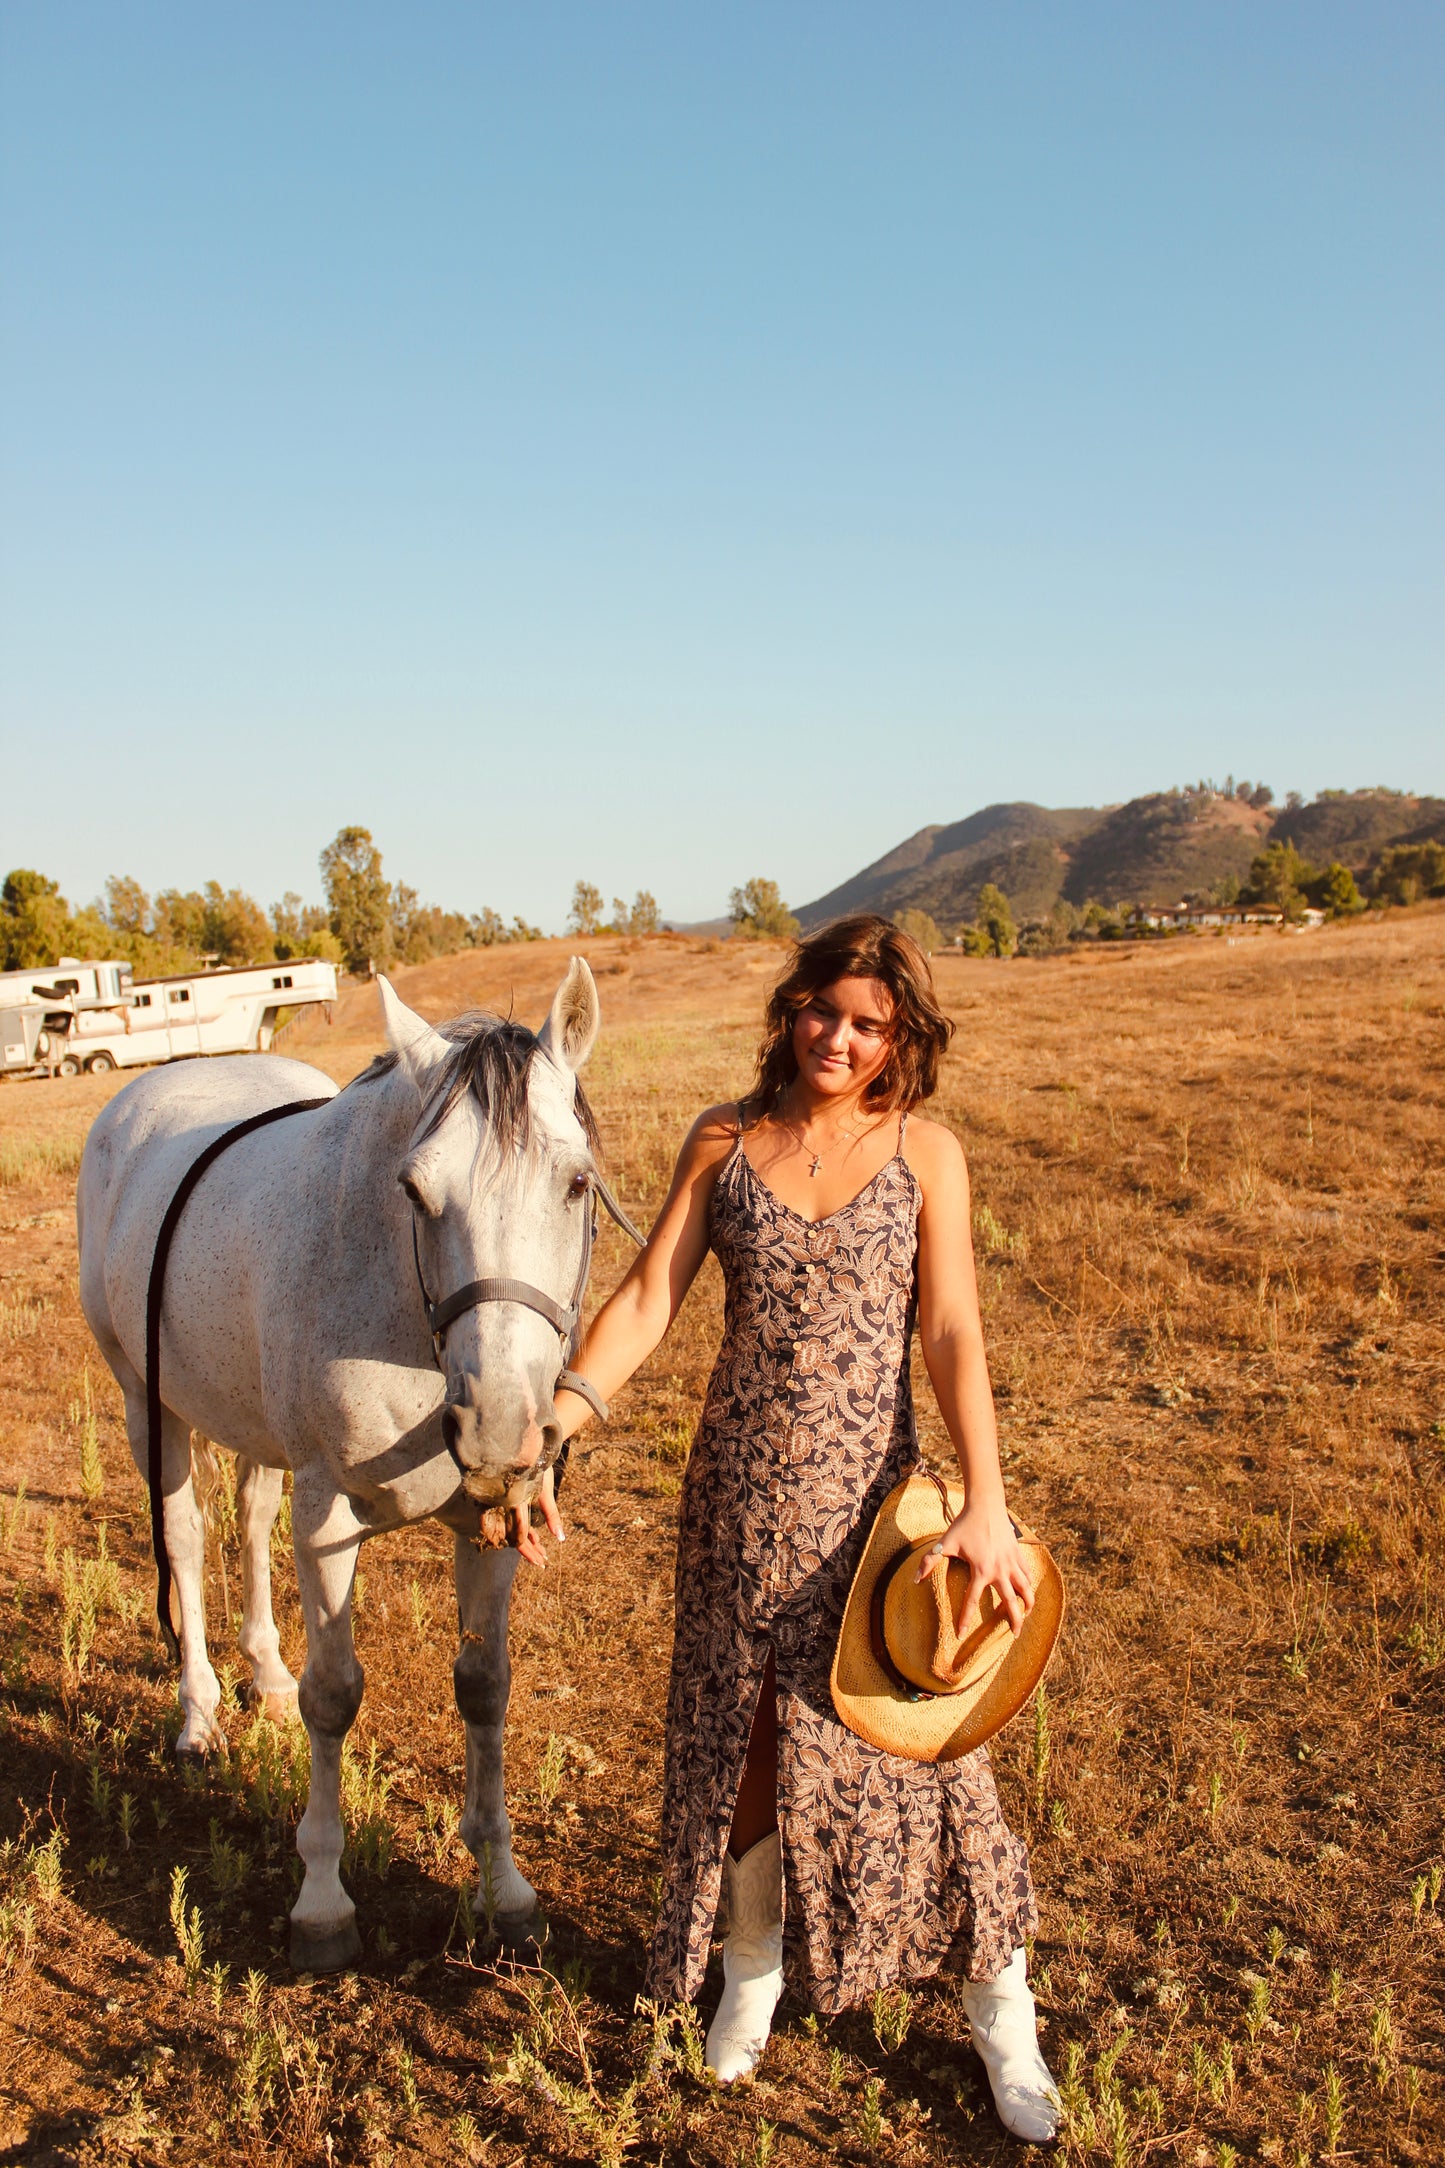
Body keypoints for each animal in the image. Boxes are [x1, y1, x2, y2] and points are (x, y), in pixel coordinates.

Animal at [76, 962, 606, 1968]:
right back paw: (200, 1712)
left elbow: (485, 1688)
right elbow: (336, 1696)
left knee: (248, 1522)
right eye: (416, 1192)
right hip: (142, 1401)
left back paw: (264, 1675)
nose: (499, 1426)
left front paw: (503, 1888)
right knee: (185, 1540)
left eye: (576, 1183)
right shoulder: (327, 1517)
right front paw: (322, 1901)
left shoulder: (489, 1522)